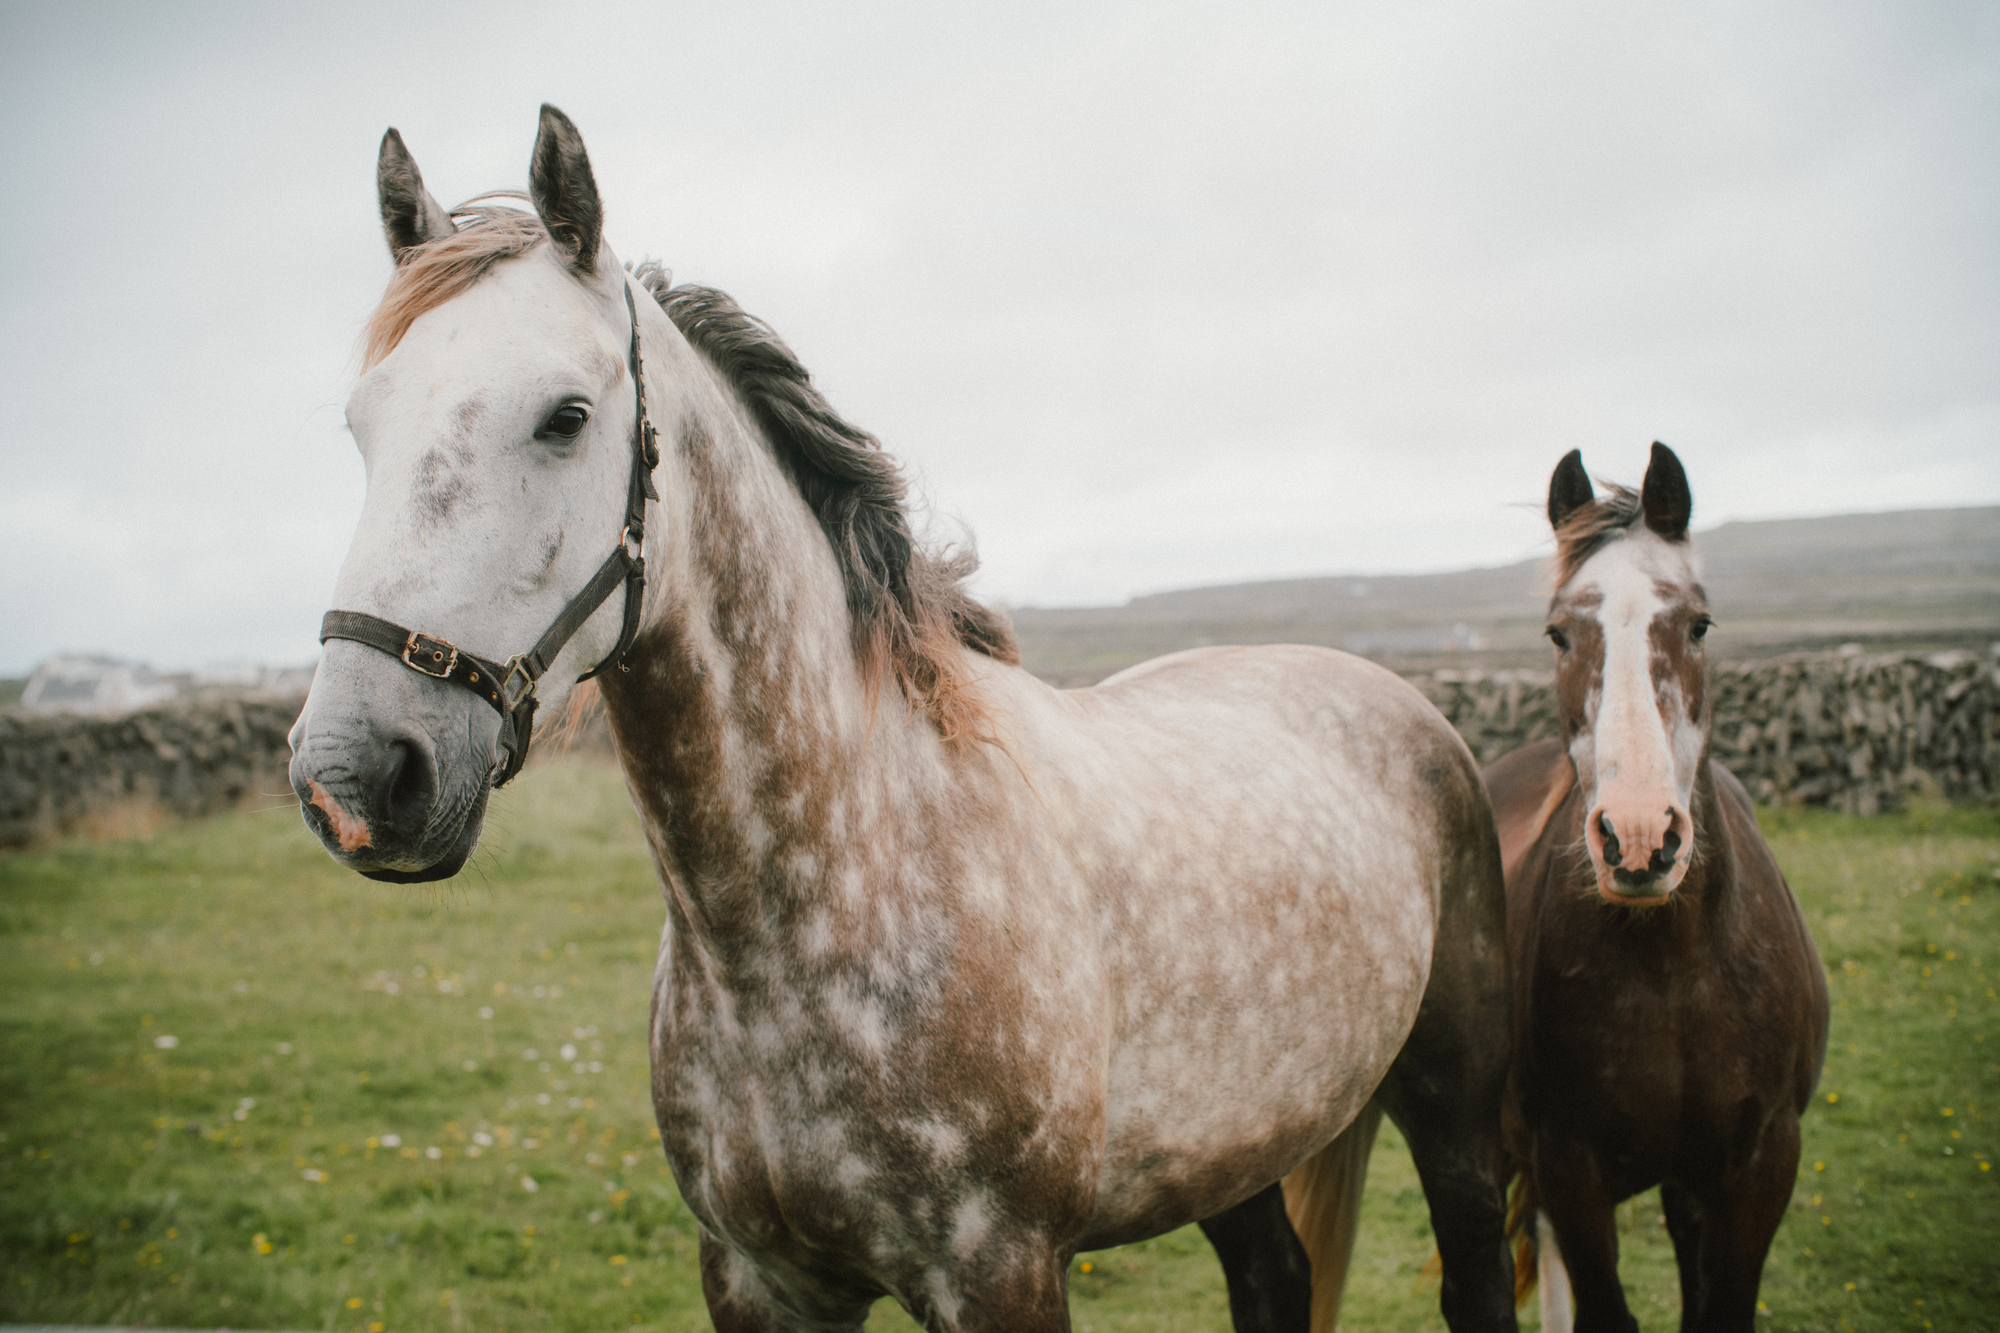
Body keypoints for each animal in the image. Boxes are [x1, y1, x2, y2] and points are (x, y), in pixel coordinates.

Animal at [288, 104, 1519, 1333]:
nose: (353, 775)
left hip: (1457, 1115)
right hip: (1233, 1150)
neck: (838, 881)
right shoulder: (759, 1278)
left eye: (566, 417)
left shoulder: (999, 1273)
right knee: (1273, 1273)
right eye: (358, 425)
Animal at [1484, 444, 1829, 1333]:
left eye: (1698, 623)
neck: (1675, 967)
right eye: (1559, 632)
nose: (1639, 839)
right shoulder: (1569, 1169)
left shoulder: (1761, 1164)